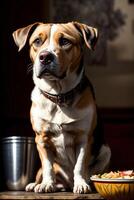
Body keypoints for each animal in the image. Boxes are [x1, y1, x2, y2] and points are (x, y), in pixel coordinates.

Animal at [12, 21, 111, 193]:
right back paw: (35, 184)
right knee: (41, 173)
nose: (45, 57)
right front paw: (47, 184)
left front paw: (81, 184)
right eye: (37, 41)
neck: (58, 96)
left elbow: (79, 165)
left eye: (65, 41)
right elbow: (47, 166)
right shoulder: (41, 139)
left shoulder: (84, 138)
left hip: (106, 151)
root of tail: (66, 184)